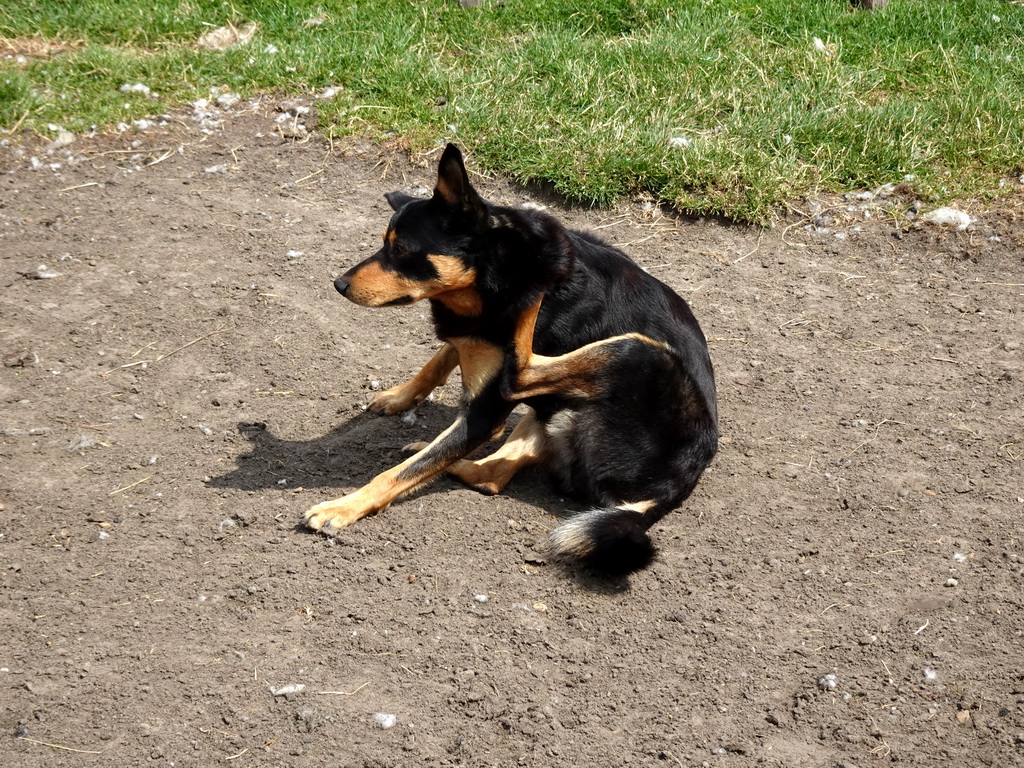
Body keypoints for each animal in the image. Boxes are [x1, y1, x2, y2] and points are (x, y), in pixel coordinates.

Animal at [301, 145, 720, 577]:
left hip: (638, 351)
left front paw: (343, 507)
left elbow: (397, 474)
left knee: (518, 375)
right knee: (492, 475)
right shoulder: (469, 336)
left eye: (400, 250)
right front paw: (401, 397)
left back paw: (533, 297)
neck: (491, 272)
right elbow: (441, 357)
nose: (339, 284)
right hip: (549, 414)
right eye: (385, 244)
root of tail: (669, 490)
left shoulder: (484, 414)